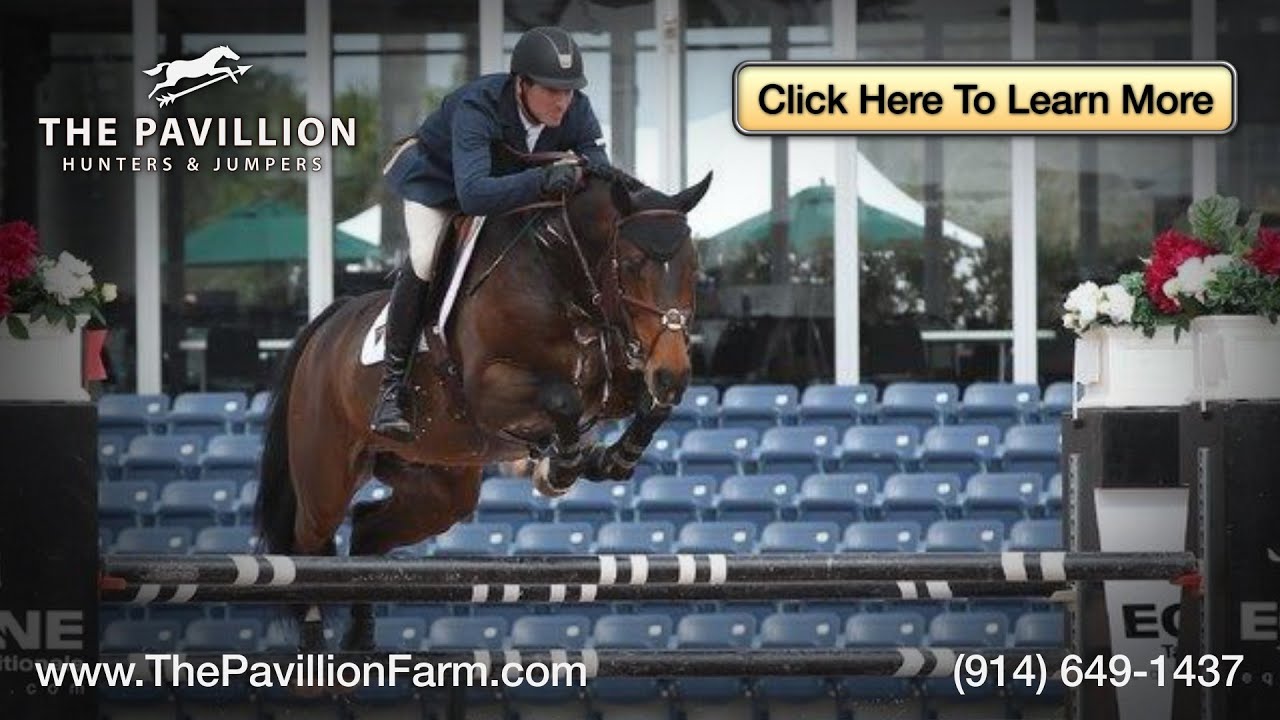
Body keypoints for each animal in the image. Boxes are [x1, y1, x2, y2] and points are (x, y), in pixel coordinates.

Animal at [254, 160, 712, 651]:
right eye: (630, 265)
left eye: (693, 266)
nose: (674, 374)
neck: (560, 275)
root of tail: (326, 326)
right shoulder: (489, 390)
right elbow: (562, 399)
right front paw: (559, 469)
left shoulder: (618, 382)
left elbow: (649, 406)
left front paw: (612, 458)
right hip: (326, 479)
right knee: (307, 547)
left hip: (439, 488)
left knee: (367, 530)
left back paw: (360, 642)